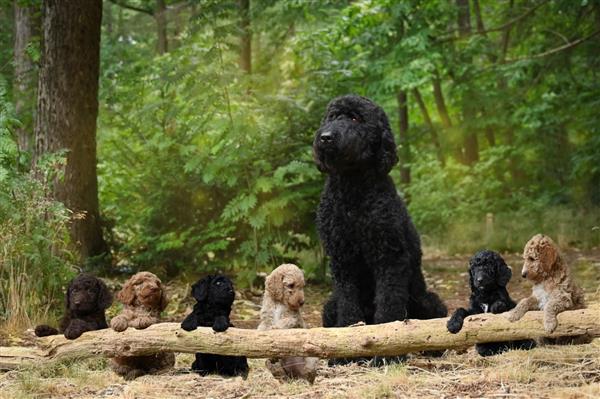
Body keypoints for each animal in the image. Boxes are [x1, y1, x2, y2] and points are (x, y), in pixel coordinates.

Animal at [314, 95, 446, 332]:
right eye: (332, 117)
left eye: (355, 118)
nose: (325, 137)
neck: (353, 189)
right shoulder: (342, 259)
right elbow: (347, 300)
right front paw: (348, 330)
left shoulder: (389, 256)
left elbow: (389, 299)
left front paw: (388, 332)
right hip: (329, 306)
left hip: (427, 300)